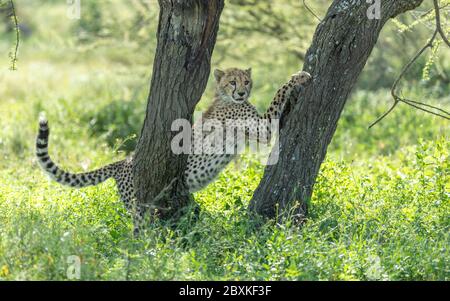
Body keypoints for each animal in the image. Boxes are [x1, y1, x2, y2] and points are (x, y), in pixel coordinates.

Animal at [37, 67, 312, 229]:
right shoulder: (262, 129)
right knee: (138, 232)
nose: (242, 93)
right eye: (233, 82)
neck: (224, 98)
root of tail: (125, 160)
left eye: (246, 81)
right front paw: (299, 77)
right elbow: (278, 94)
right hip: (141, 208)